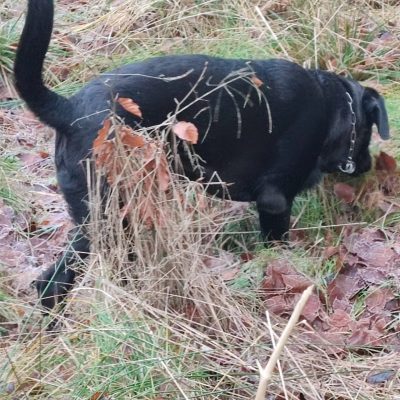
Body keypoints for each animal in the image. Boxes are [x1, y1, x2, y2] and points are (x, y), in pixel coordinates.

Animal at [14, 0, 389, 309]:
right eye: (368, 132)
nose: (368, 165)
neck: (332, 107)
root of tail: (68, 110)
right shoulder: (275, 200)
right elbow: (277, 245)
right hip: (111, 215)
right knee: (60, 279)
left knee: (52, 283)